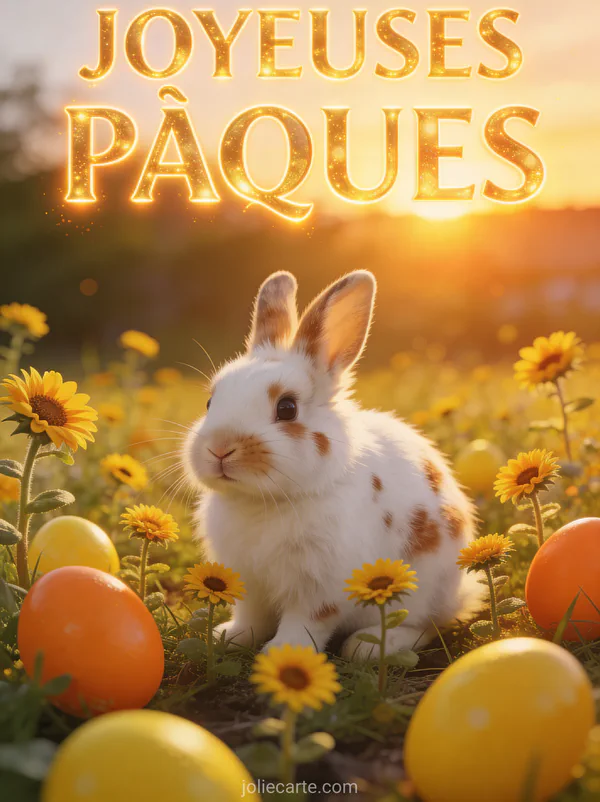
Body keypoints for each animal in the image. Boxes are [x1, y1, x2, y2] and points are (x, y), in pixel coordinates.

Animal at [183, 270, 482, 659]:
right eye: (209, 402)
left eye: (287, 408)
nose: (220, 448)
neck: (262, 502)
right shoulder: (249, 580)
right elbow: (251, 617)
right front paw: (228, 636)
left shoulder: (320, 587)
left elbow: (306, 623)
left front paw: (282, 653)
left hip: (424, 591)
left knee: (426, 625)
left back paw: (370, 647)